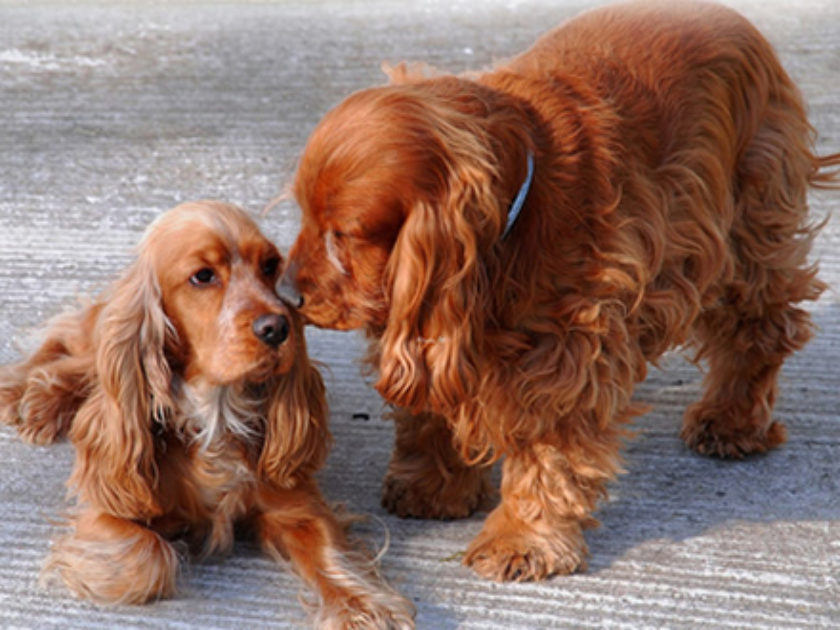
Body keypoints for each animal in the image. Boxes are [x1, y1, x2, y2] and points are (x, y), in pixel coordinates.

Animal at [1, 201, 416, 628]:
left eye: (270, 265)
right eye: (202, 276)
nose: (277, 327)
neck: (217, 409)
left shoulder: (297, 505)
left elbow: (329, 555)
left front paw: (362, 608)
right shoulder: (105, 510)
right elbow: (148, 560)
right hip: (109, 328)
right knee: (71, 345)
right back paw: (30, 397)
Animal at [278, 0, 840, 584]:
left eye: (345, 233)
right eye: (304, 214)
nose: (287, 292)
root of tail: (735, 20)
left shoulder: (567, 346)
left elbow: (547, 449)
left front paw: (522, 538)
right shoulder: (418, 315)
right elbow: (427, 402)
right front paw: (432, 487)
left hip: (747, 236)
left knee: (760, 331)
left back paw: (732, 419)